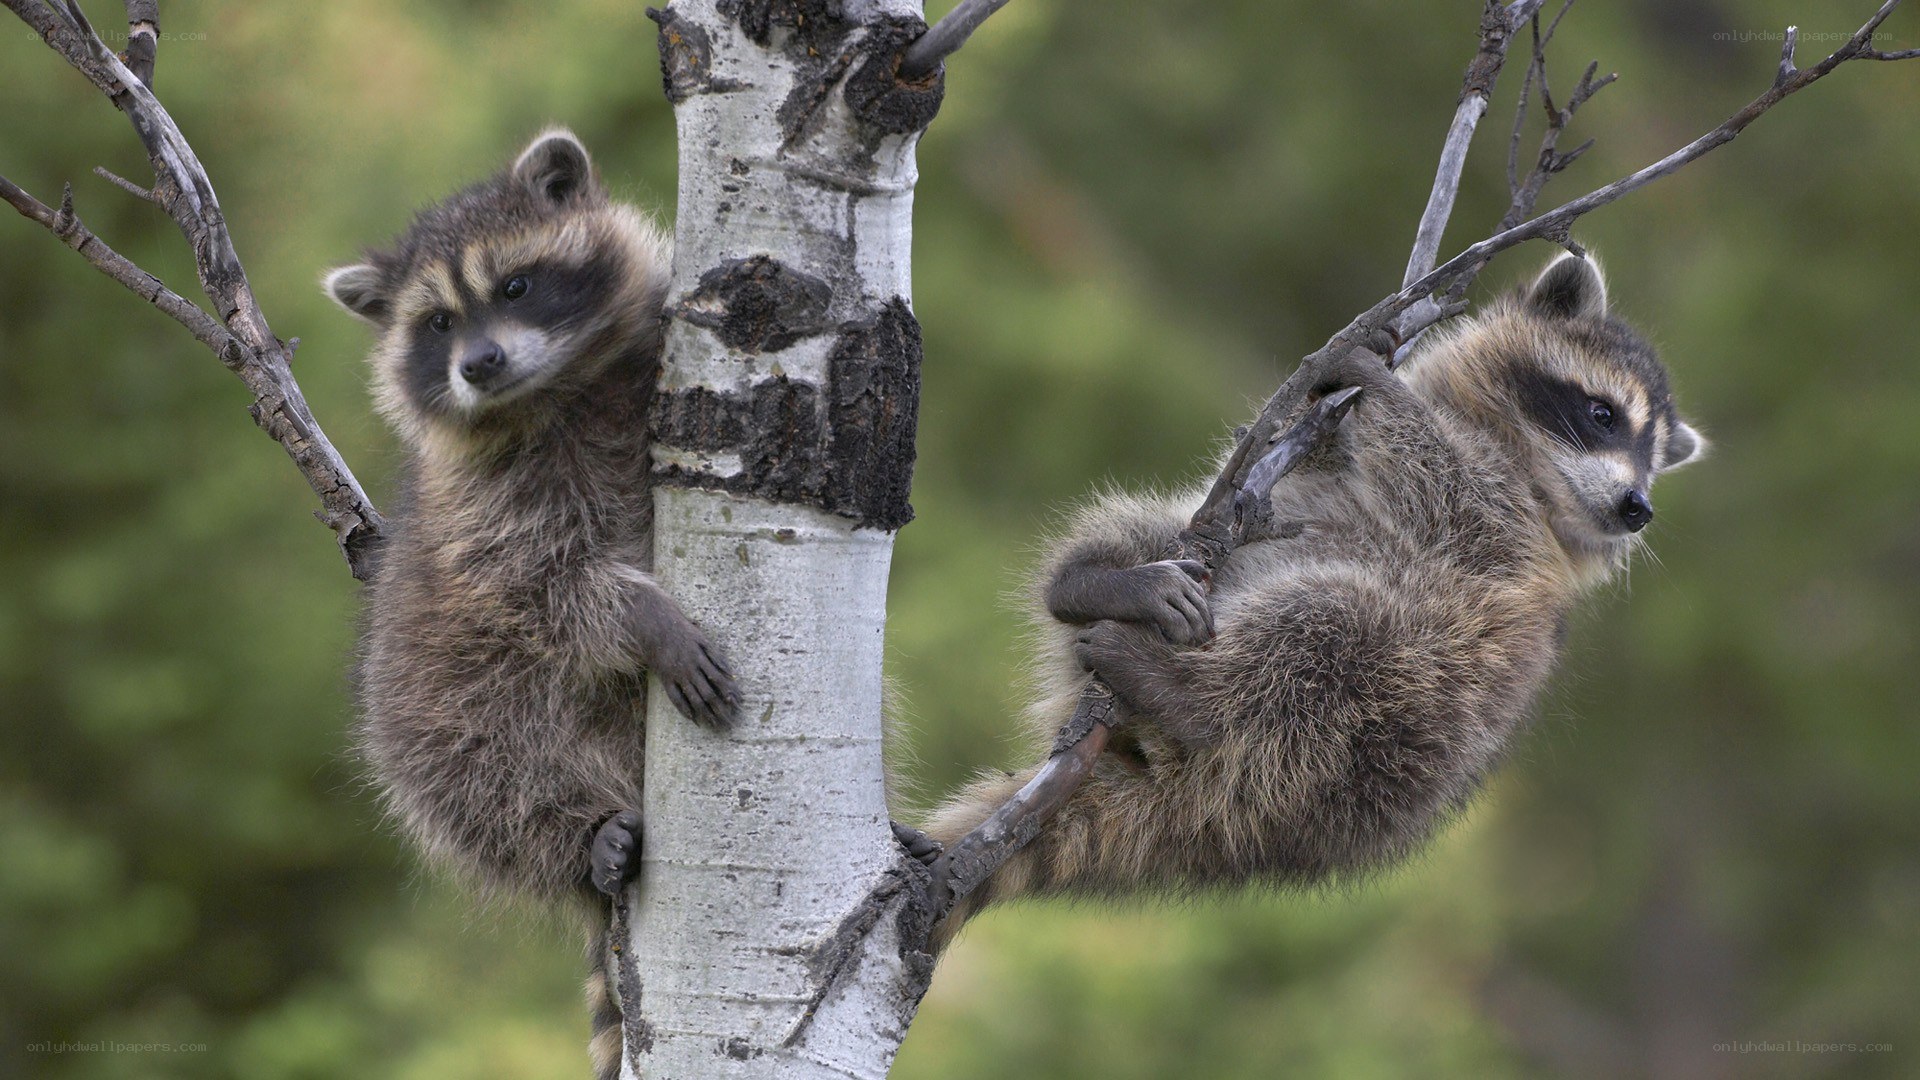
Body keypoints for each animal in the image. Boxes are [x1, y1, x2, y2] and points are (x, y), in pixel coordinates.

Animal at [323, 129, 737, 1079]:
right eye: (438, 324)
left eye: (515, 287)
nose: (479, 364)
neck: (553, 390)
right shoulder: (483, 511)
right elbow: (539, 589)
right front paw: (643, 620)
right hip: (429, 699)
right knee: (470, 778)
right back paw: (580, 839)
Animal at [921, 255, 1704, 945]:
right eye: (1603, 414)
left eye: (1653, 458)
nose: (1638, 508)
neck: (1522, 461)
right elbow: (1285, 446)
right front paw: (1353, 377)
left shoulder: (1511, 543)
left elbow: (1451, 493)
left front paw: (1383, 390)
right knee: (1151, 530)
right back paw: (1096, 581)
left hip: (1389, 734)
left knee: (1328, 639)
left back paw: (1189, 695)